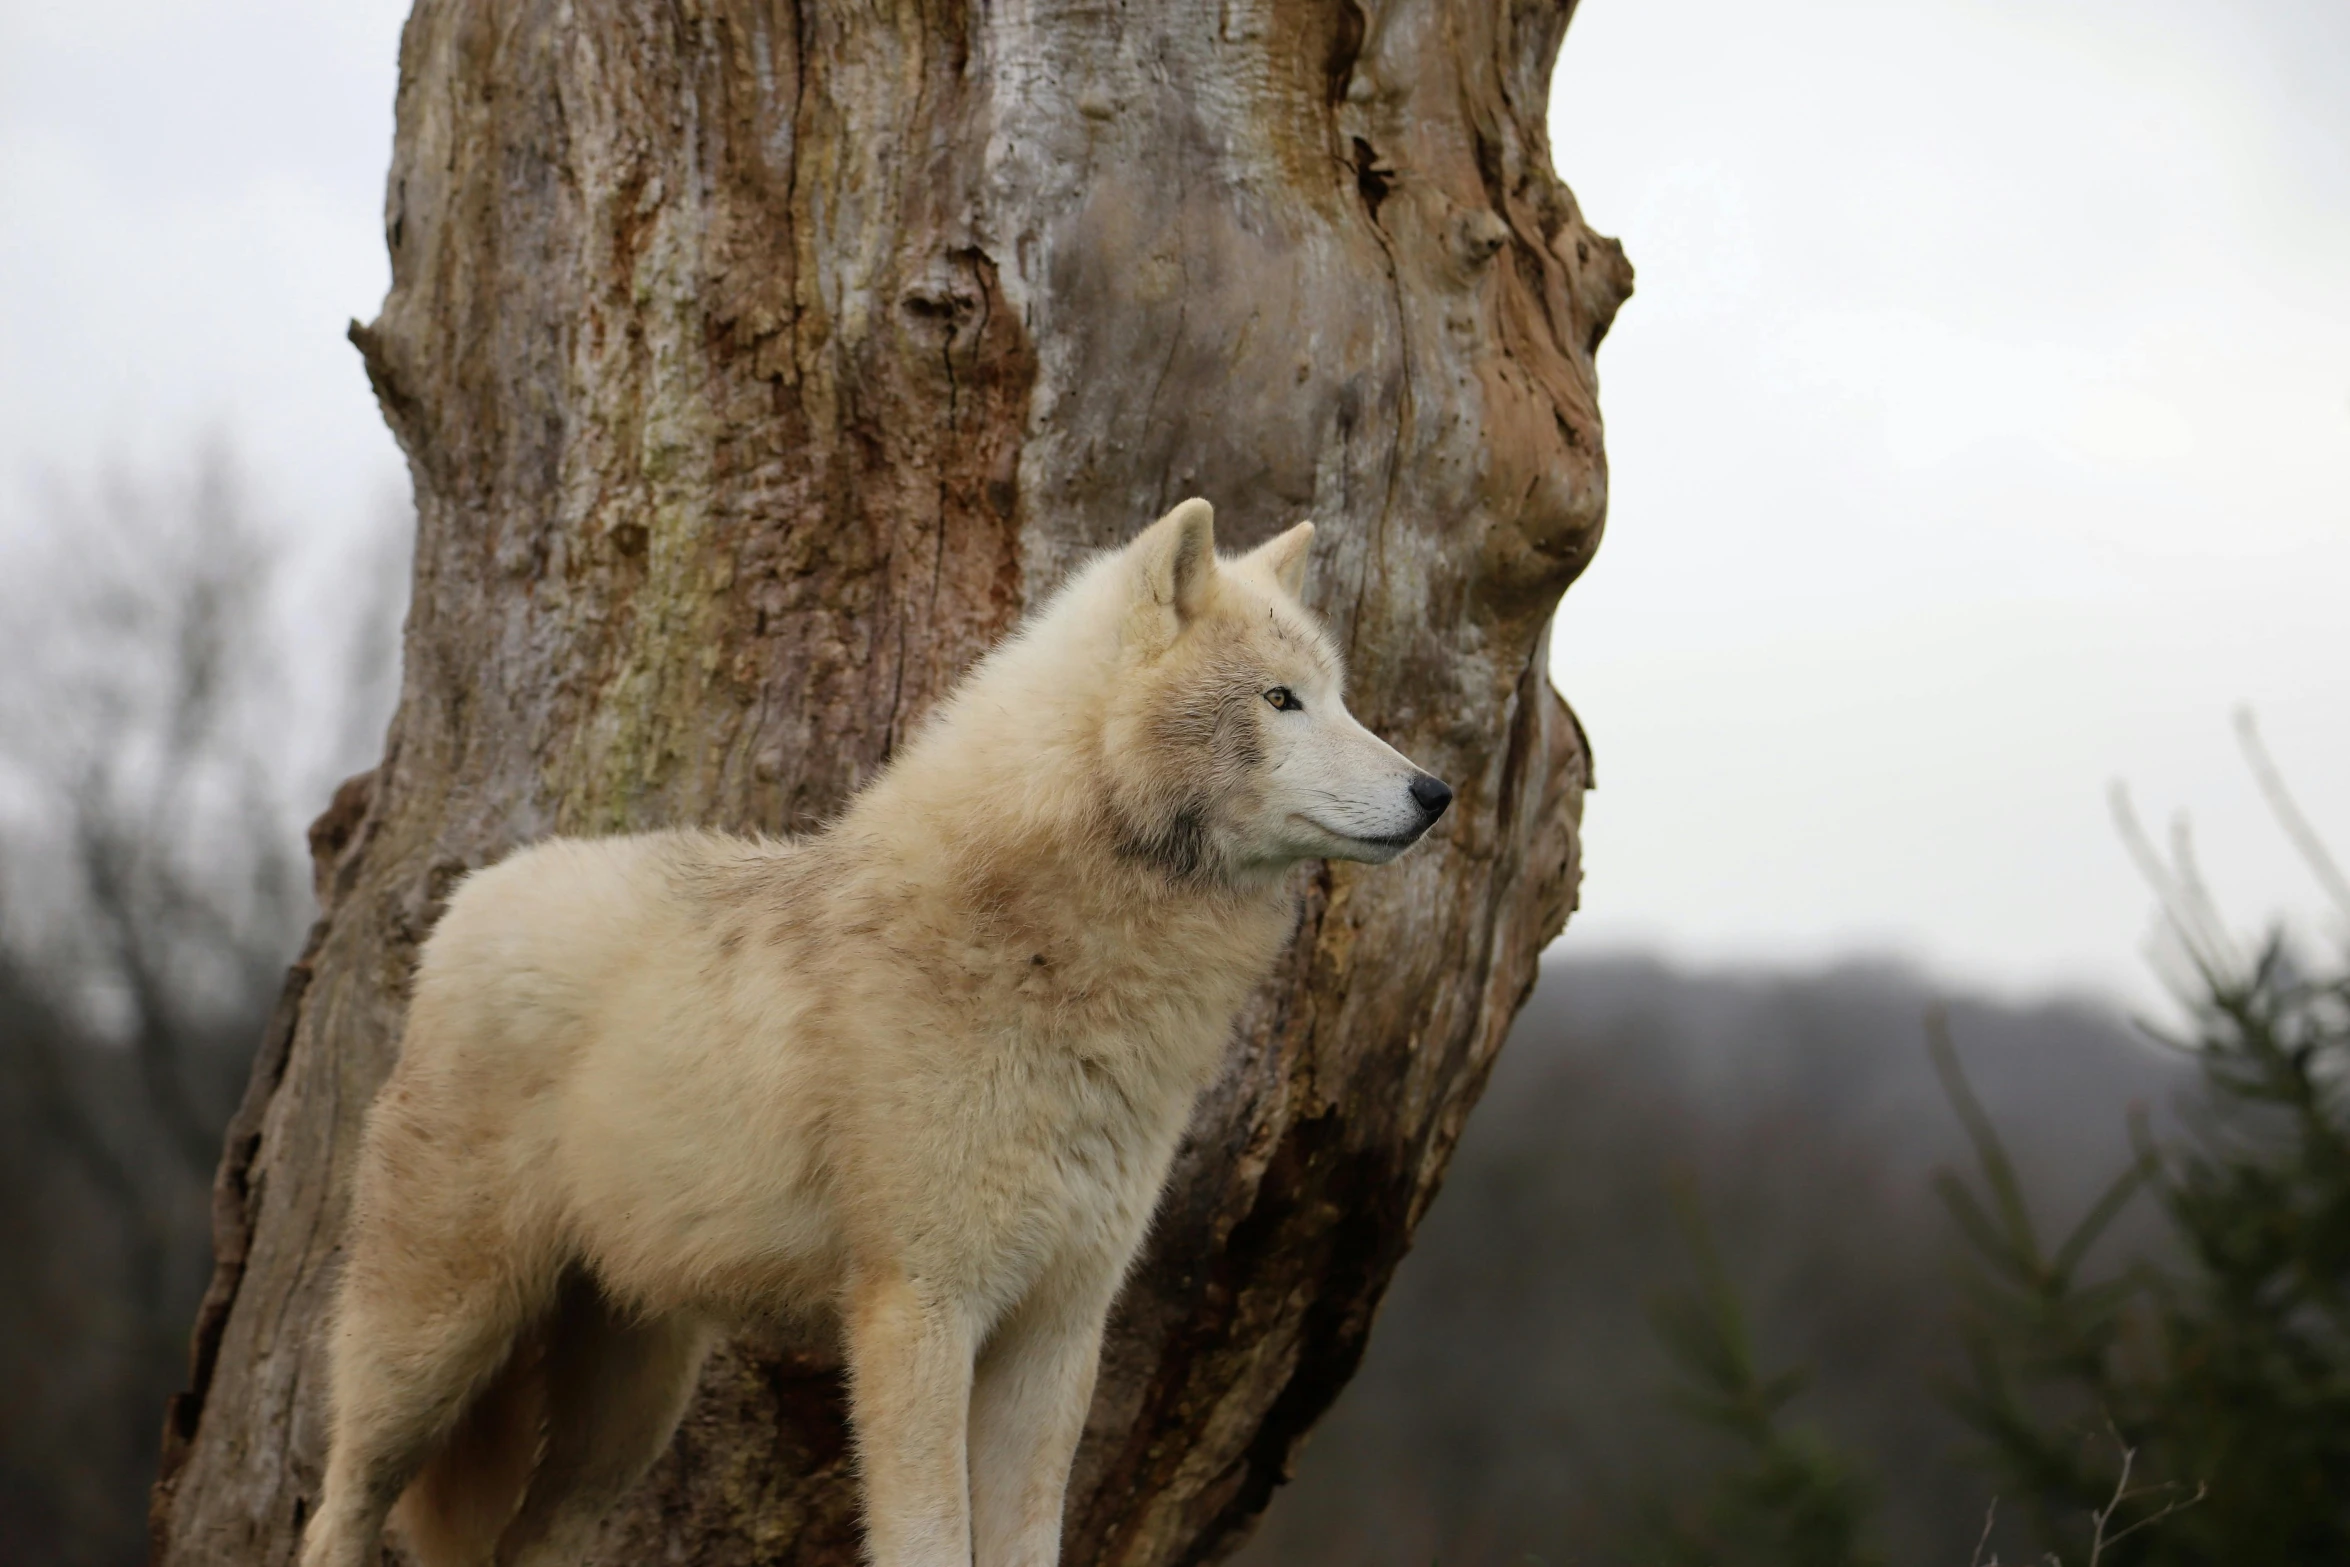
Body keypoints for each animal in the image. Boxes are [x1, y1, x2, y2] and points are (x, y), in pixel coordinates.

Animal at [296, 500, 1447, 1567]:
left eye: (1340, 698)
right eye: (1280, 699)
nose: (1434, 791)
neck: (1059, 962)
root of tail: (473, 896)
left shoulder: (1056, 1333)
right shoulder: (920, 1311)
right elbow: (929, 1540)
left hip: (626, 1416)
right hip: (434, 1349)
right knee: (336, 1506)